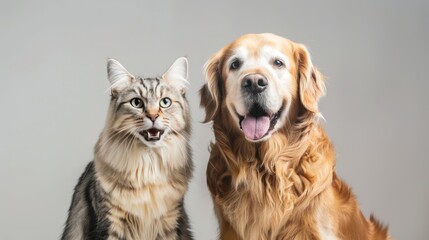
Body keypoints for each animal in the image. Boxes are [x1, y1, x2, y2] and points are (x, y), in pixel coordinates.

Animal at [60, 57, 192, 239]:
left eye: (165, 102)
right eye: (137, 102)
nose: (153, 116)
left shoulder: (170, 223)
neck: (148, 165)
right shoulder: (109, 222)